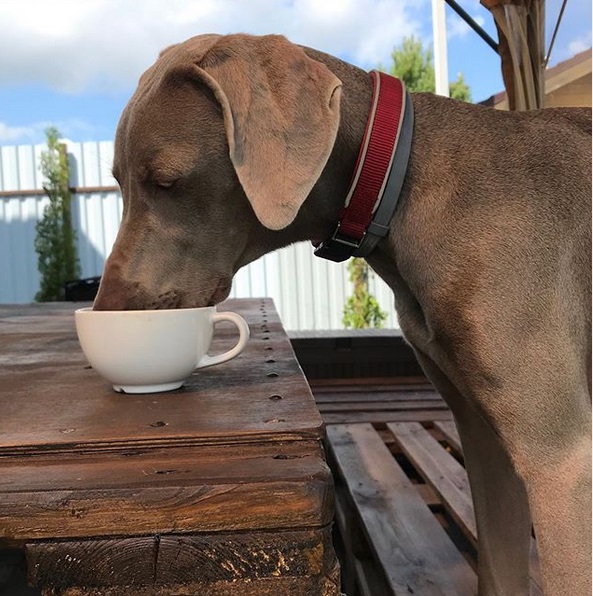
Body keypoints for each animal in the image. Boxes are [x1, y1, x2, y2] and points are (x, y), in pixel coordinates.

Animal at [95, 33, 588, 596]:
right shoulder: (483, 437)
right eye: (118, 182)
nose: (106, 312)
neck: (397, 180)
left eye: (166, 181)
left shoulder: (560, 463)